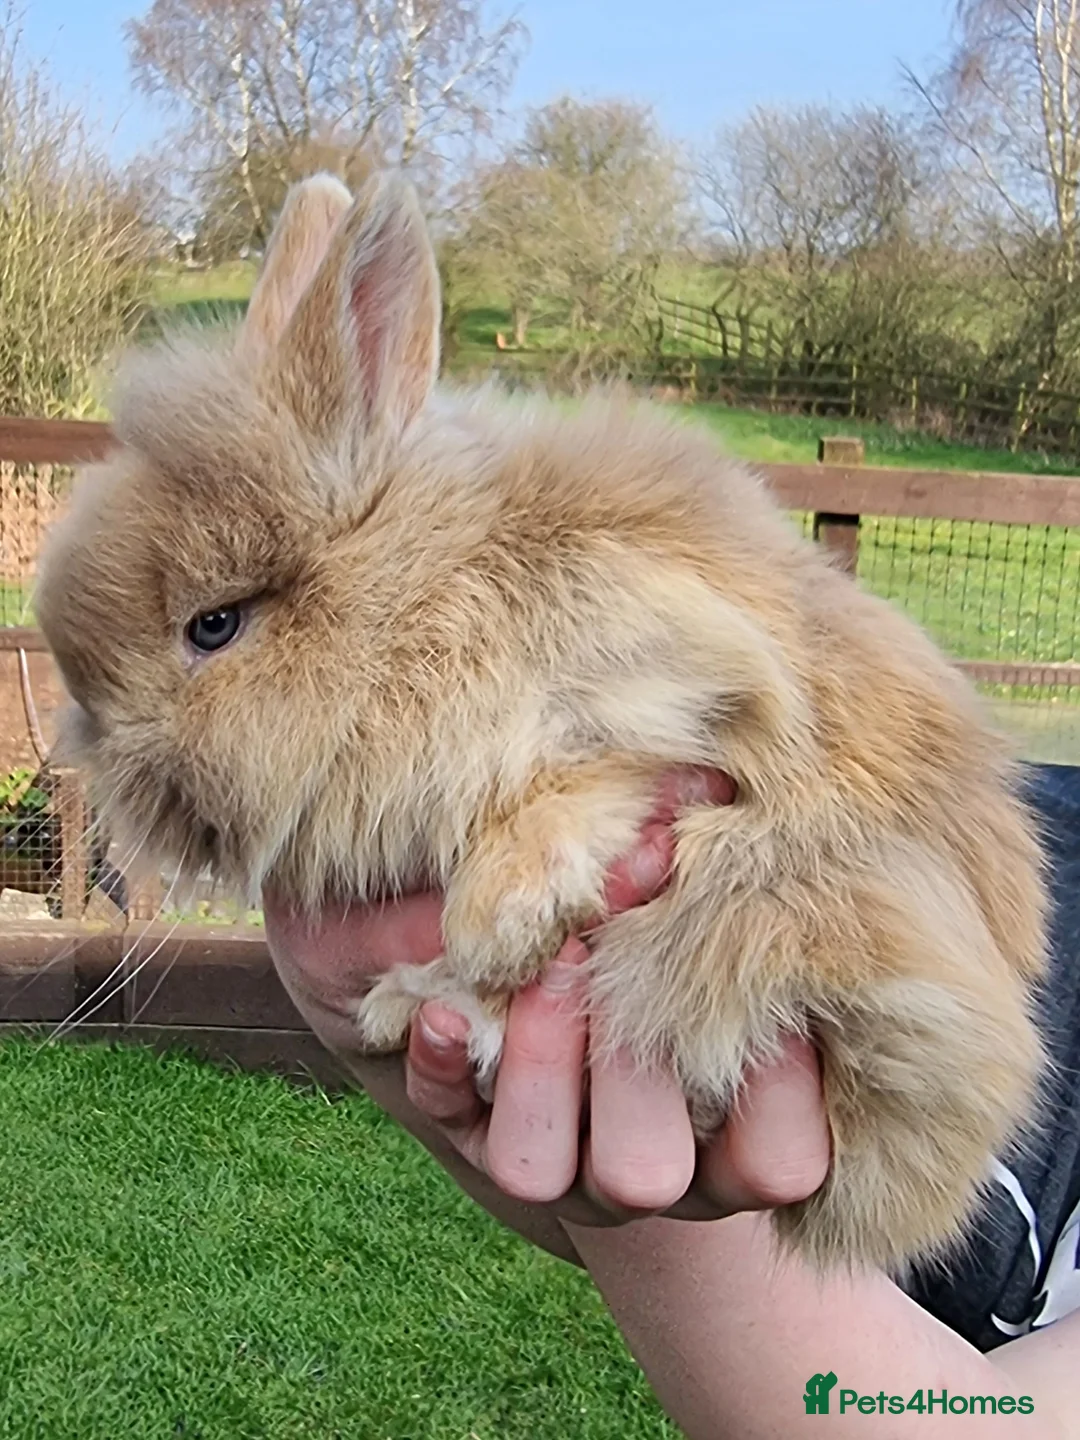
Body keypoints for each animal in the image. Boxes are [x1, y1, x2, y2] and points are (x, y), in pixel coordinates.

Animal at [34, 169, 1048, 1276]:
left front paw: (502, 922)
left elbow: (586, 796)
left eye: (213, 626)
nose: (101, 763)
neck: (410, 601)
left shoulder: (672, 684)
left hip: (776, 921)